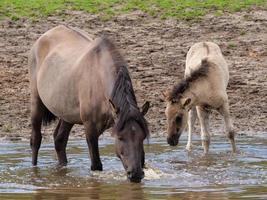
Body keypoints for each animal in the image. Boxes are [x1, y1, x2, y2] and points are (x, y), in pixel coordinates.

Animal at [29, 25, 151, 183]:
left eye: (142, 137)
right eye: (120, 138)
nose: (135, 174)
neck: (99, 78)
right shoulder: (90, 129)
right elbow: (96, 165)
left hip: (67, 114)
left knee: (59, 140)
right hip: (36, 102)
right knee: (36, 140)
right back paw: (34, 170)